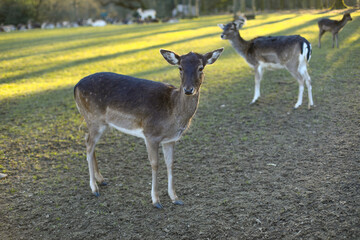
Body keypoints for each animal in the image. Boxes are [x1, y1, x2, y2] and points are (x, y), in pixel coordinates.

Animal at [74, 47, 224, 208]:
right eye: (180, 67)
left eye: (201, 67)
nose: (188, 90)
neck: (173, 112)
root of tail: (76, 87)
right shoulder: (151, 134)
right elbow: (155, 164)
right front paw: (156, 201)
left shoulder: (170, 139)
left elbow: (170, 163)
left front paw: (175, 198)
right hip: (93, 118)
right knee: (89, 145)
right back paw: (94, 188)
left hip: (101, 123)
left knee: (89, 141)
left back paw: (101, 180)